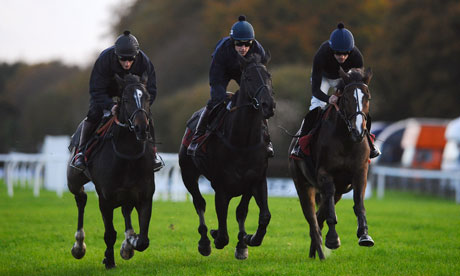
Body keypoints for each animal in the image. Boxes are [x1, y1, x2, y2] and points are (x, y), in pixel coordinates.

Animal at [67, 73, 156, 268]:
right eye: (125, 99)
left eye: (147, 97)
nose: (141, 128)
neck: (128, 155)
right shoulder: (105, 199)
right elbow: (110, 233)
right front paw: (109, 259)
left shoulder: (145, 195)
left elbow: (143, 240)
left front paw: (129, 243)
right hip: (73, 180)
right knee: (81, 199)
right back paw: (79, 246)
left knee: (125, 209)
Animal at [178, 52, 274, 260]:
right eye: (248, 77)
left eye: (269, 75)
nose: (268, 105)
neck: (243, 143)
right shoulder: (221, 186)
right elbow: (222, 233)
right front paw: (216, 235)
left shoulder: (256, 180)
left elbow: (256, 214)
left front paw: (247, 240)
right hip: (188, 174)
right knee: (199, 203)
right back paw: (205, 242)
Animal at [290, 68, 376, 260]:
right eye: (346, 98)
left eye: (367, 97)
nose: (359, 131)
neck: (346, 140)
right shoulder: (325, 174)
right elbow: (329, 210)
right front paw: (333, 239)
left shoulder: (360, 172)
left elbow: (359, 203)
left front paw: (364, 235)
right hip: (303, 185)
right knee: (313, 221)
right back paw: (320, 254)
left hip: (339, 191)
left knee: (318, 218)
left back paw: (314, 254)